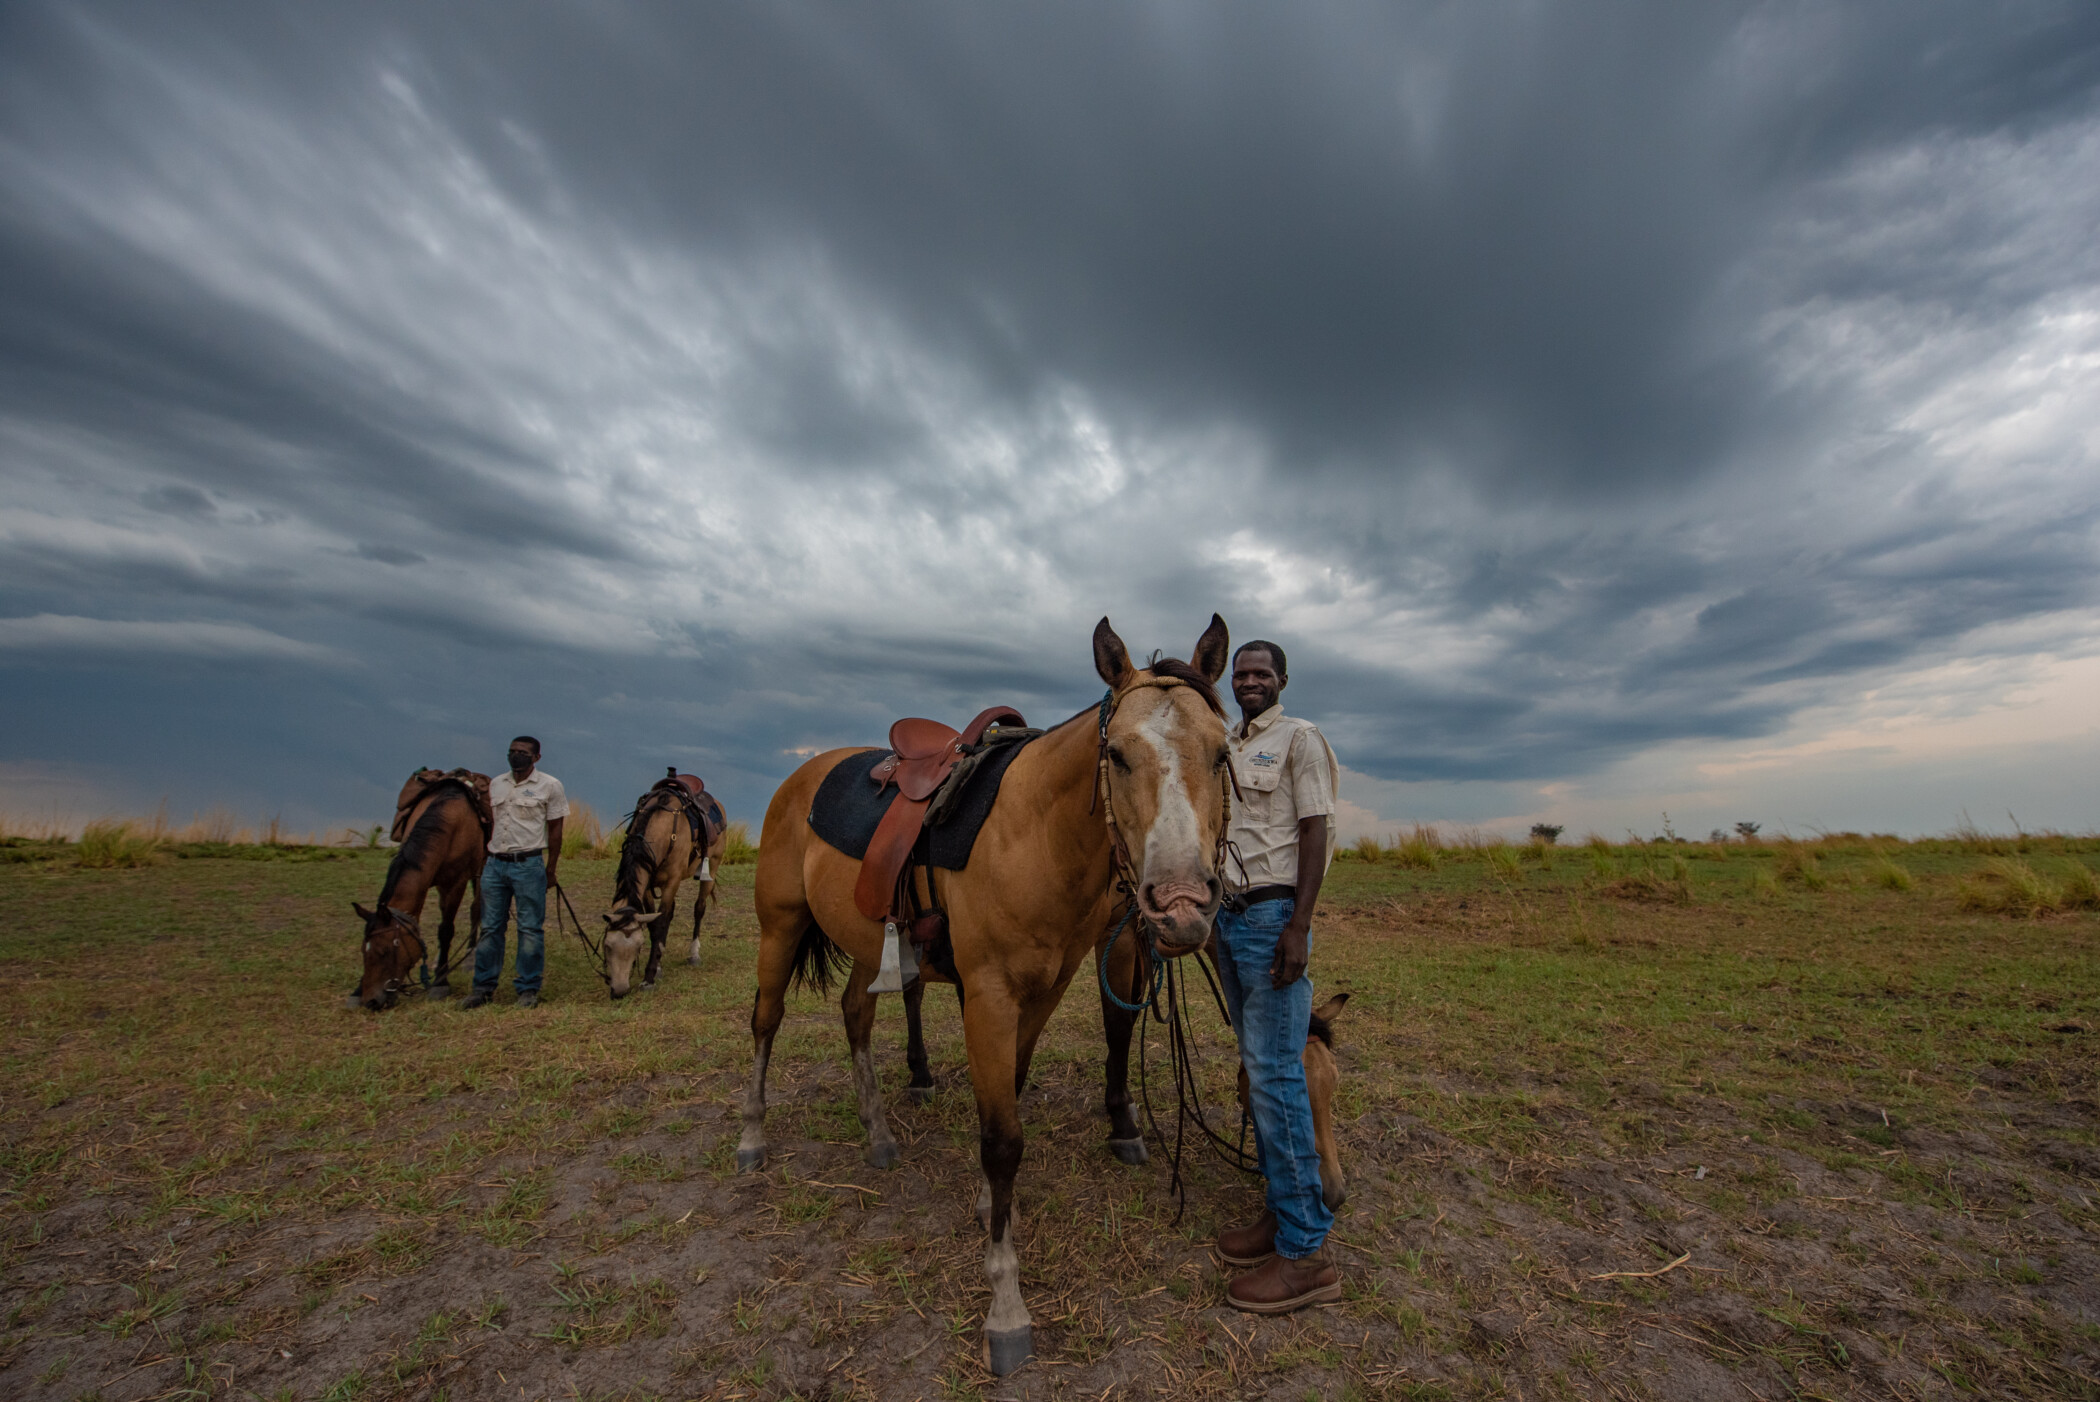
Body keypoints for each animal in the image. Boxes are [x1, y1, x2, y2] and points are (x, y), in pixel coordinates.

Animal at [352, 784, 487, 1003]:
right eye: (364, 950)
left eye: (385, 952)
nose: (371, 1001)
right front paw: (356, 991)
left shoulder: (455, 883)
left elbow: (446, 929)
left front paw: (440, 982)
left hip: (480, 869)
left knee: (476, 908)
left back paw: (470, 956)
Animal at [604, 768, 734, 994]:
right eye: (607, 947)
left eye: (638, 947)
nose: (619, 991)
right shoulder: (648, 884)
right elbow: (654, 923)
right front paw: (657, 966)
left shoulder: (672, 880)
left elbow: (662, 919)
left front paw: (649, 976)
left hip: (712, 866)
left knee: (699, 908)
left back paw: (694, 954)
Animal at [739, 617, 1226, 1376]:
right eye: (1116, 754)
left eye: (1224, 753)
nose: (1179, 907)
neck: (1035, 834)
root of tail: (804, 774)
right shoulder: (990, 996)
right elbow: (1002, 1140)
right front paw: (1006, 1305)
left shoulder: (1043, 992)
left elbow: (1011, 1099)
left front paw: (992, 1207)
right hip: (780, 926)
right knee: (766, 1020)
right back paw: (753, 1137)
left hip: (865, 944)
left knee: (854, 1017)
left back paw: (878, 1135)